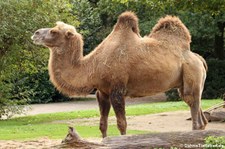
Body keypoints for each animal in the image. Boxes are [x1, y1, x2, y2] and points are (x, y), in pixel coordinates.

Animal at [31, 11, 207, 138]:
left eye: (53, 31)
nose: (35, 33)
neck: (93, 66)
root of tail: (198, 58)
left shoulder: (117, 89)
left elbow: (122, 124)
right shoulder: (102, 92)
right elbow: (102, 125)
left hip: (192, 72)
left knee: (193, 108)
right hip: (187, 82)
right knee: (198, 111)